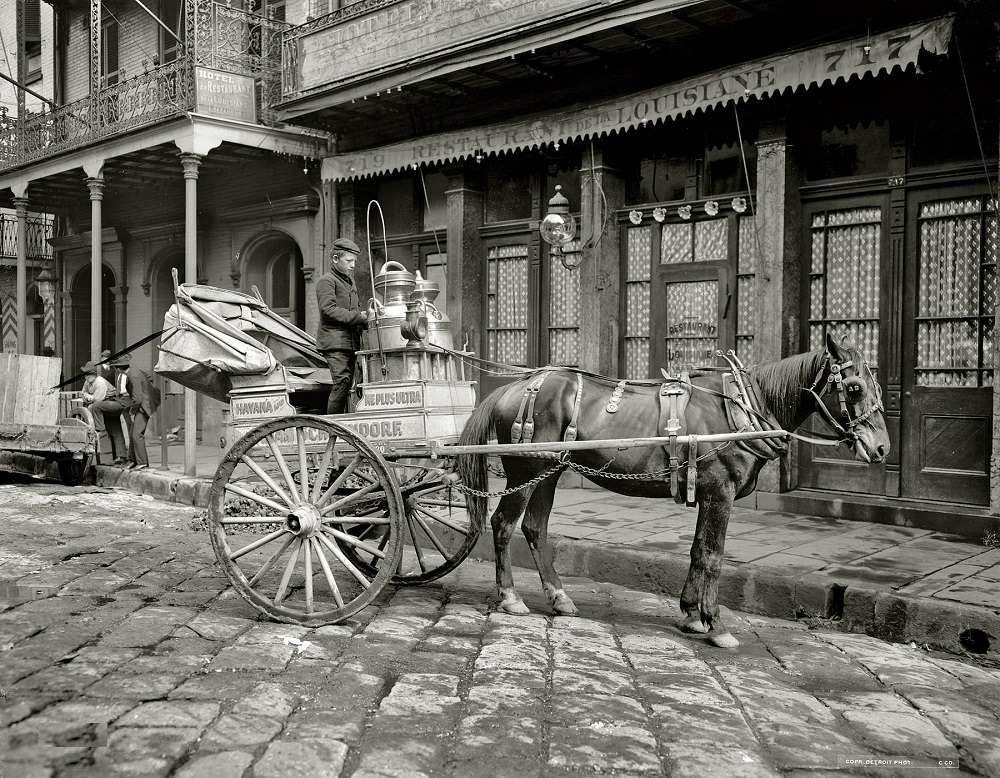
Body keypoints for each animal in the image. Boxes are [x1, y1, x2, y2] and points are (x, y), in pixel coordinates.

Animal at [456, 330, 892, 644]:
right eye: (853, 387)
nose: (882, 448)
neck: (744, 407)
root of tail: (514, 386)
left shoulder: (710, 493)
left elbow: (698, 551)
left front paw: (692, 616)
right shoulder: (721, 493)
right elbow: (714, 557)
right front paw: (716, 625)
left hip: (550, 470)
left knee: (535, 528)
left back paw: (560, 598)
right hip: (525, 470)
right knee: (503, 524)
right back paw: (510, 597)